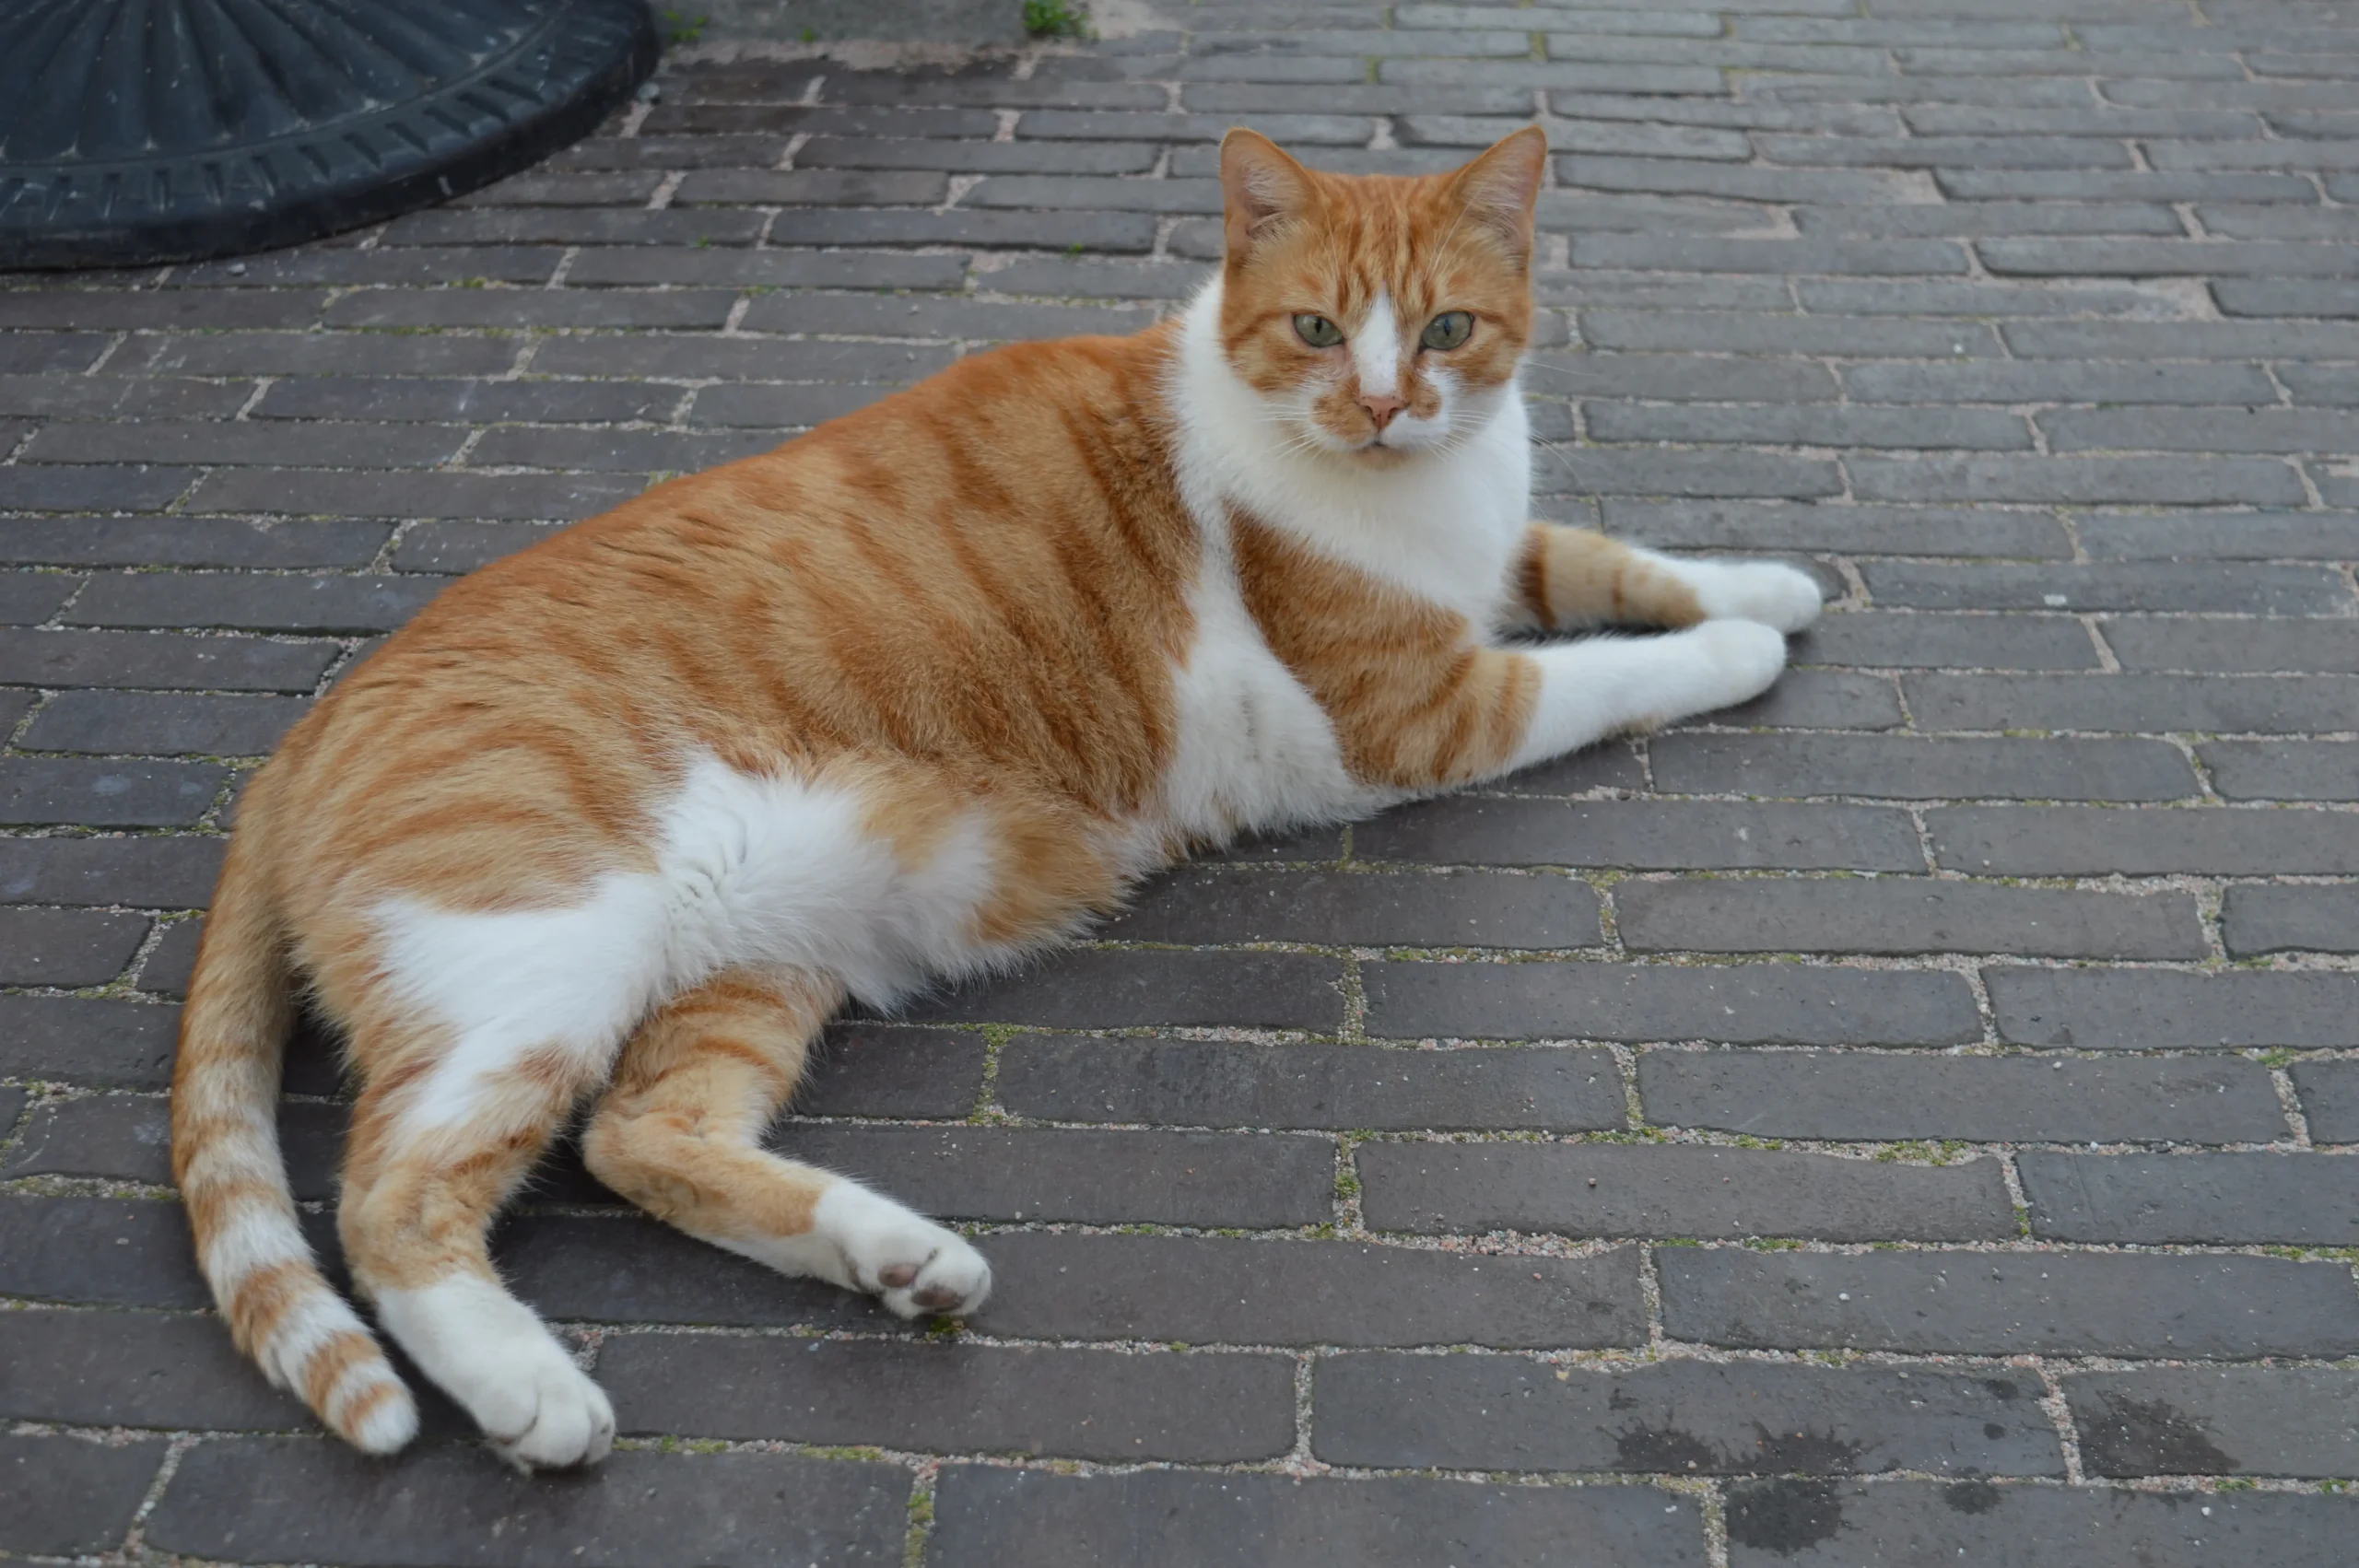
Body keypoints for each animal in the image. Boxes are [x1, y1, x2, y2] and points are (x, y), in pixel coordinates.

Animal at [171, 125, 1821, 1470]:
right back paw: (531, 1389)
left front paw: (1768, 582)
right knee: (391, 1200)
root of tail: (302, 734)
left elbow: (1600, 557)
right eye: (1314, 328)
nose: (1378, 403)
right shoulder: (1422, 713)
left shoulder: (1488, 574)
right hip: (538, 961)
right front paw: (1737, 649)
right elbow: (1611, 670)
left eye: (1447, 329)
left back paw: (891, 1255)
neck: (1400, 488)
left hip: (750, 959)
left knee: (640, 1136)